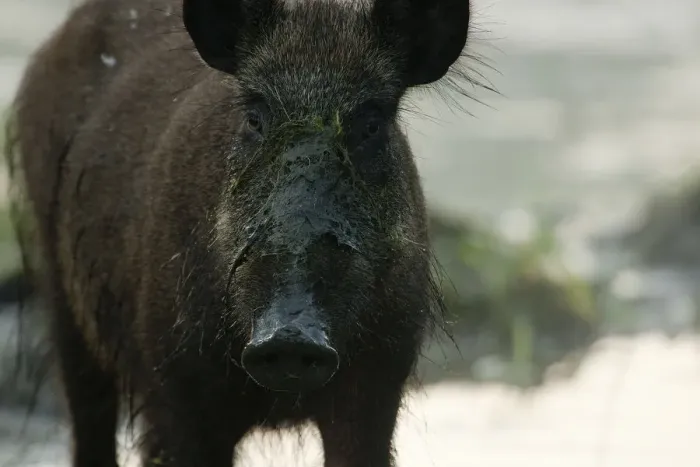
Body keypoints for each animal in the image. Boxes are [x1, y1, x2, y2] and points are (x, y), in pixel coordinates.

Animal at [3, 0, 476, 465]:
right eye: (254, 117)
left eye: (372, 124)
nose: (290, 335)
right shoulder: (175, 385)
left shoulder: (379, 382)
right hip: (62, 298)